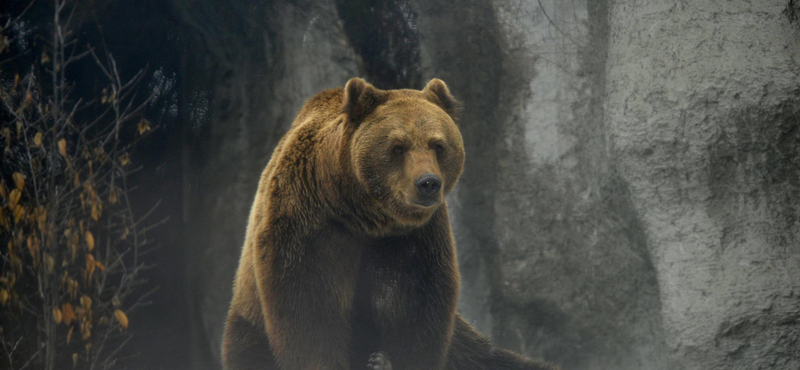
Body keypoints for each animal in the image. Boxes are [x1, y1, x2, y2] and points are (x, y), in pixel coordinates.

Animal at [219, 77, 556, 370]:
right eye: (398, 147)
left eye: (438, 145)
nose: (428, 183)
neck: (362, 213)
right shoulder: (308, 223)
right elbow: (309, 309)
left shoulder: (413, 240)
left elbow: (415, 311)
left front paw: (384, 361)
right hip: (249, 321)